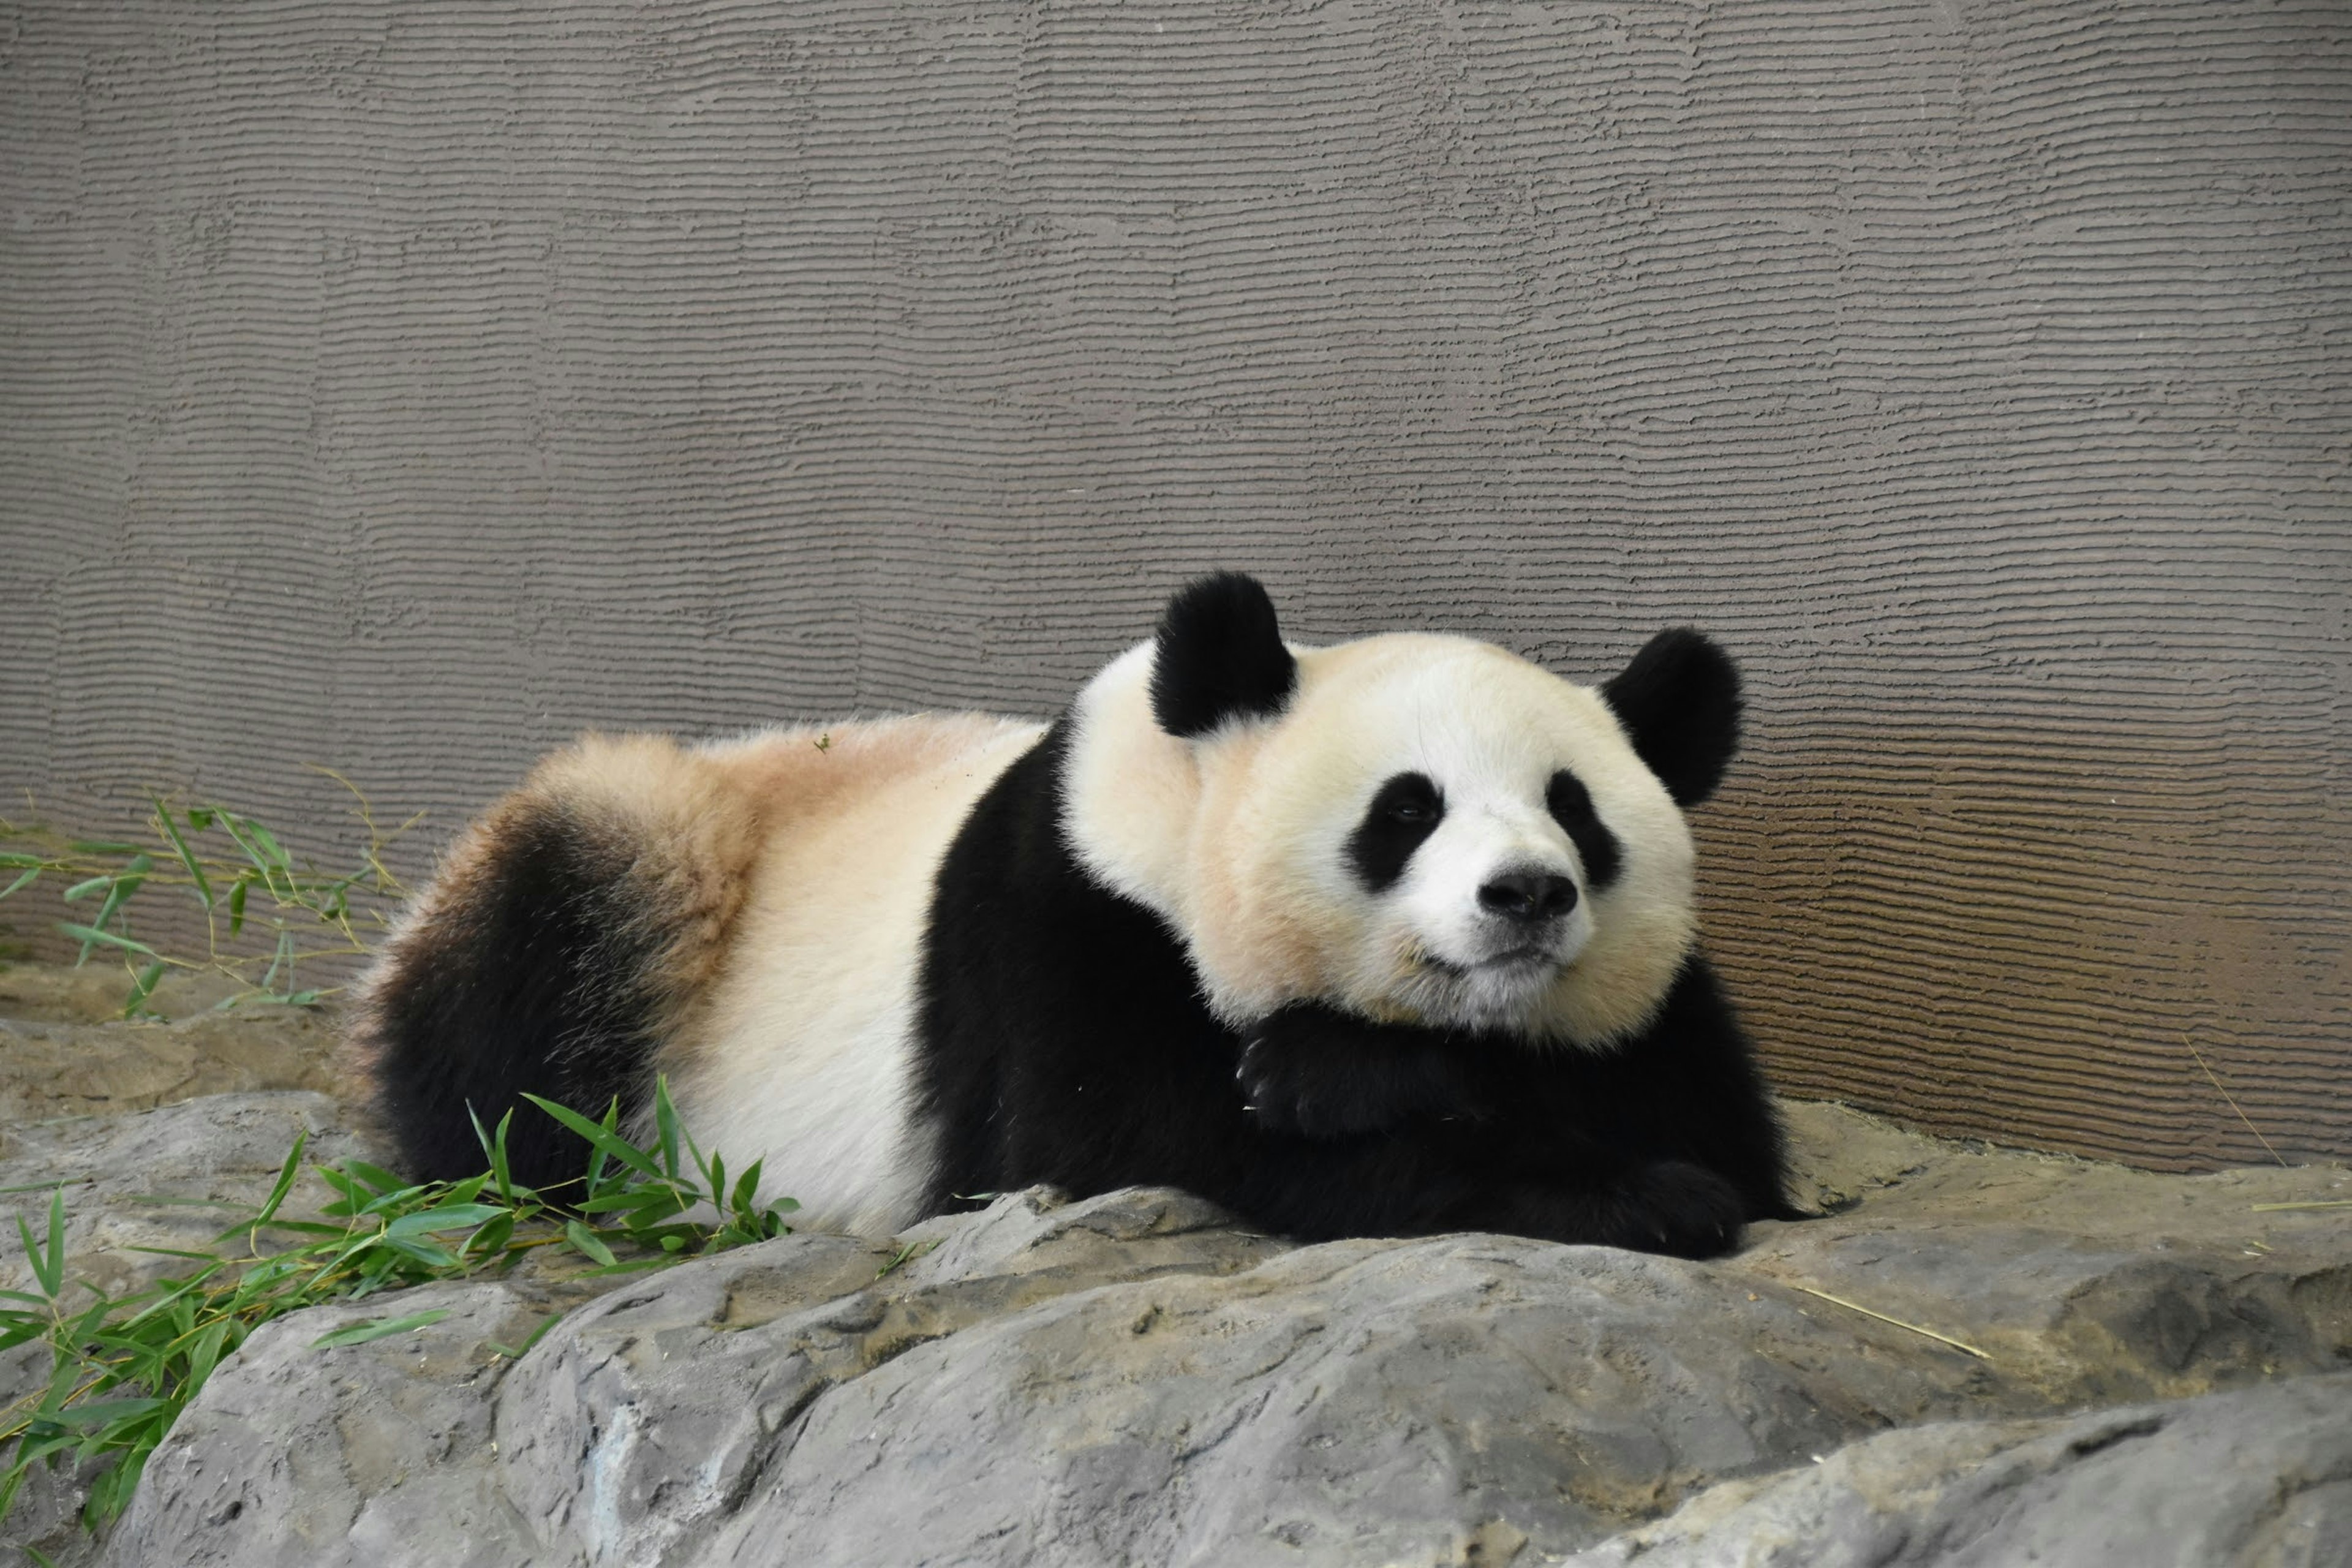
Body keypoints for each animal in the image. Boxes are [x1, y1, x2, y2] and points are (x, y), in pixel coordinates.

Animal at [348, 576, 1787, 1260]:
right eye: (1406, 809)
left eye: (1576, 812)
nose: (1527, 894)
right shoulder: (1071, 916)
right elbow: (1135, 1144)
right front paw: (1642, 1194)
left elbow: (1705, 1109)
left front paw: (1338, 1068)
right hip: (659, 856)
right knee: (552, 954)